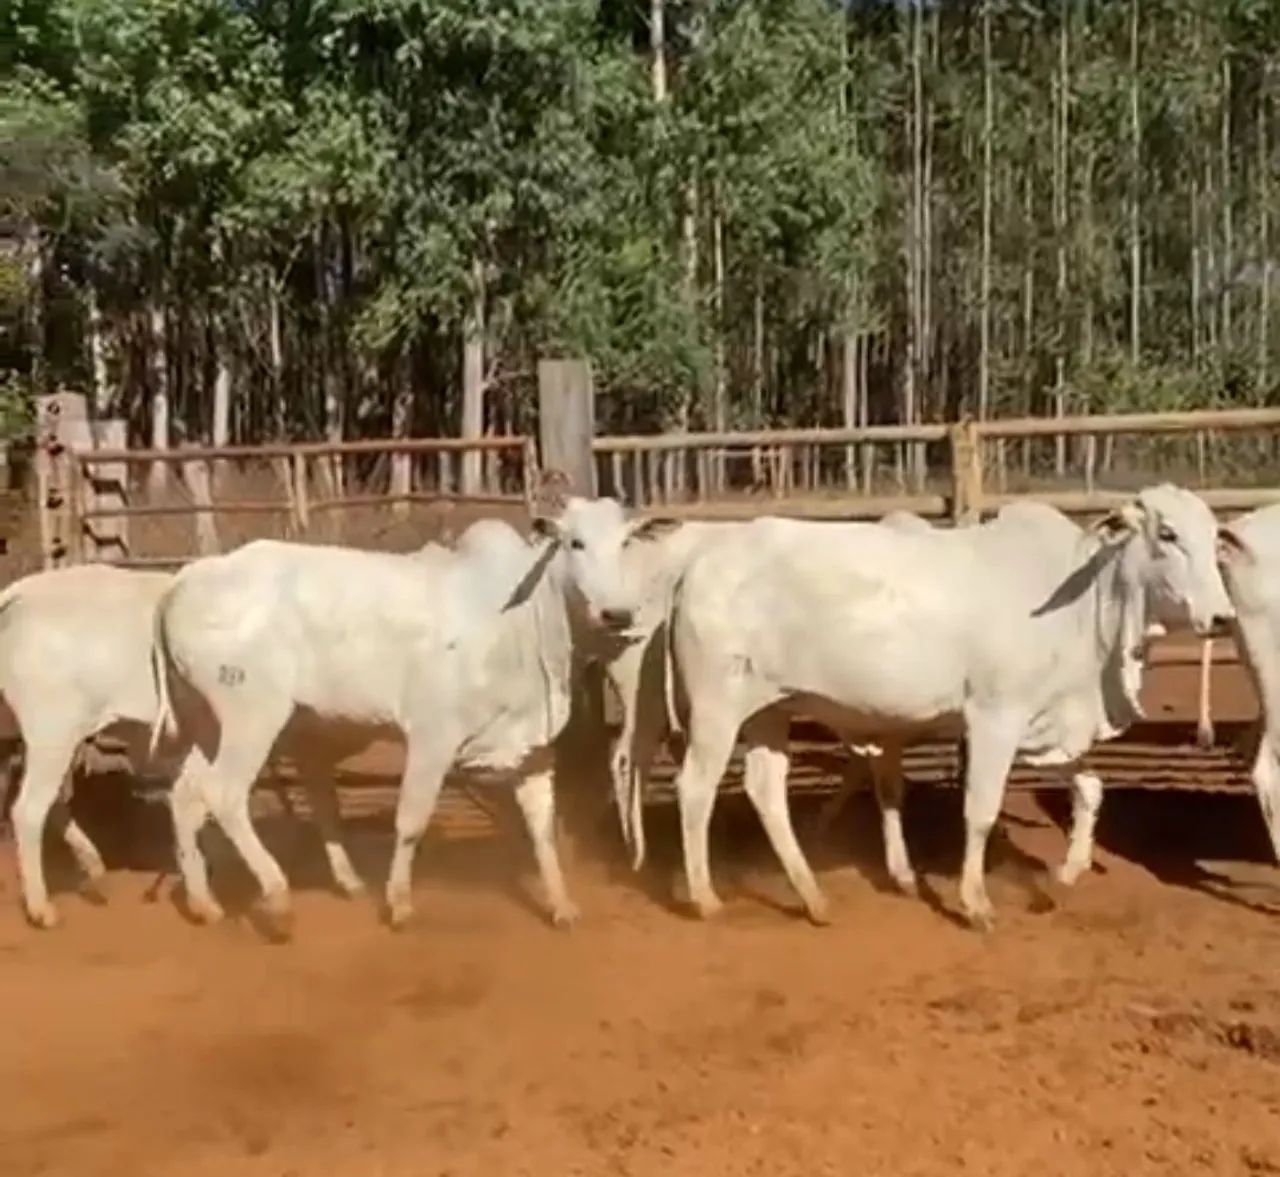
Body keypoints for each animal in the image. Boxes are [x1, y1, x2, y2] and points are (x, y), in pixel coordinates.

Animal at [0, 563, 372, 929]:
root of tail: (21, 592)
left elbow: (324, 806)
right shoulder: (307, 745)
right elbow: (323, 807)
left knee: (51, 802)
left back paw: (93, 869)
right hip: (52, 730)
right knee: (29, 809)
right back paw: (42, 909)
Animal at [151, 499, 649, 936]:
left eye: (626, 543)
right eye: (575, 542)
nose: (617, 613)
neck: (521, 619)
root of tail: (186, 579)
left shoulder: (532, 749)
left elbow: (542, 831)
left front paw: (562, 906)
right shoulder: (433, 737)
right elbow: (411, 821)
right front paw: (399, 904)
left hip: (210, 723)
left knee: (185, 796)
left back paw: (205, 903)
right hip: (253, 715)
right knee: (225, 795)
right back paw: (277, 899)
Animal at [661, 485, 1233, 930]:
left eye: (1214, 538)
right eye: (1168, 534)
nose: (1223, 617)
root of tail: (696, 566)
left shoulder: (1045, 720)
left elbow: (1090, 787)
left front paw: (1067, 872)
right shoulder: (995, 716)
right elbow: (980, 812)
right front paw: (975, 903)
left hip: (770, 710)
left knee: (765, 790)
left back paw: (813, 898)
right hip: (717, 706)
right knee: (695, 788)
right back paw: (705, 898)